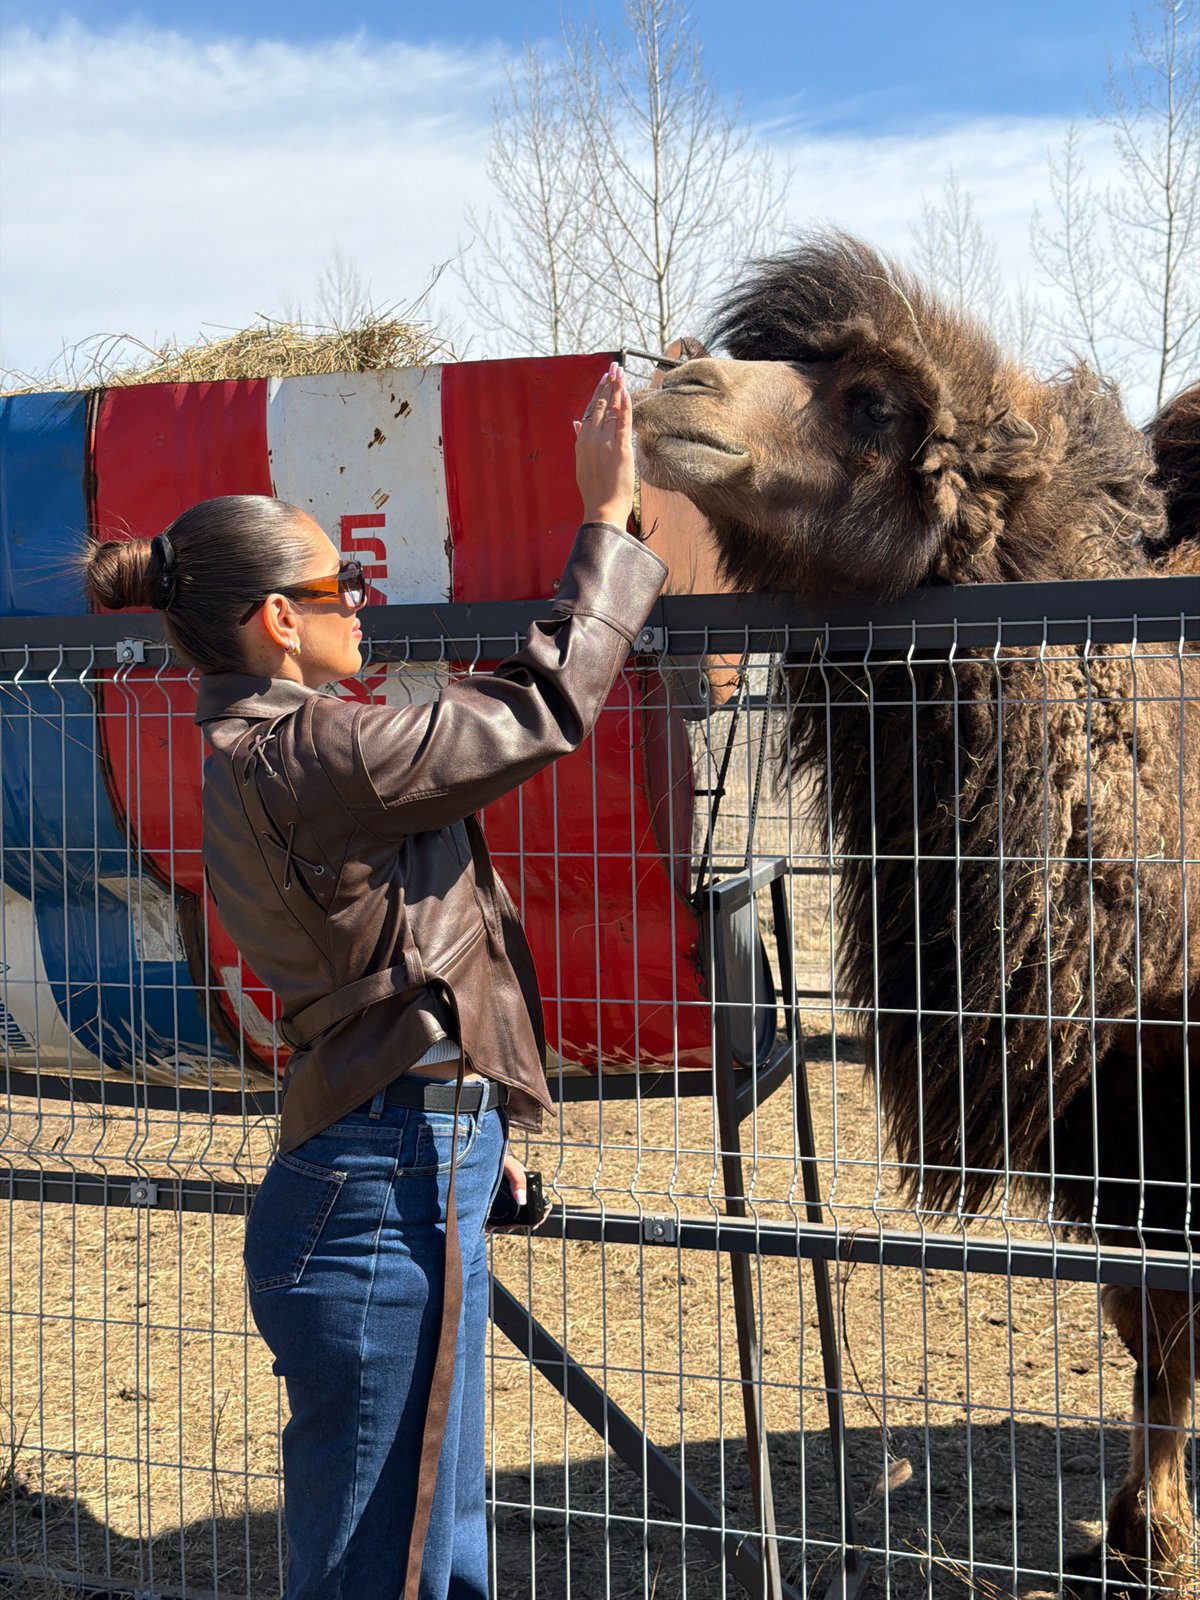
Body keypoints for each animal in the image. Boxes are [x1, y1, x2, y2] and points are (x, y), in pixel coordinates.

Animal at [633, 234, 1199, 1596]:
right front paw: (1140, 1535)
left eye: (873, 404)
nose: (675, 384)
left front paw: (1158, 1540)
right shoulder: (1114, 1105)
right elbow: (1147, 1319)